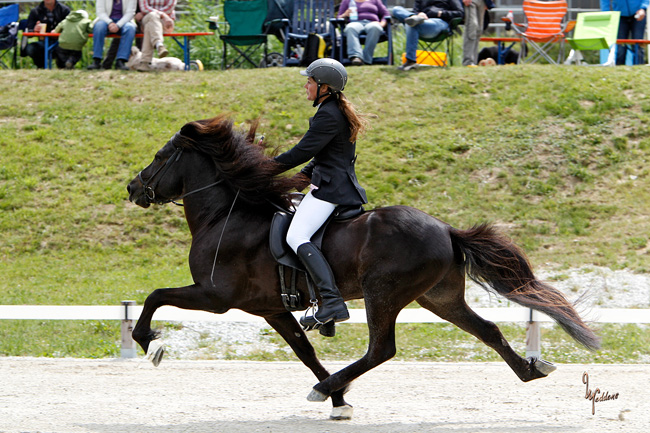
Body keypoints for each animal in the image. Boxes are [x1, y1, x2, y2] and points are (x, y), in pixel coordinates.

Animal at [125, 115, 596, 418]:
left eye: (160, 156)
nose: (133, 188)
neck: (225, 214)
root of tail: (445, 228)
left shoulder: (215, 295)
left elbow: (154, 296)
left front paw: (150, 344)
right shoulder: (272, 308)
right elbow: (305, 351)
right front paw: (339, 402)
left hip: (382, 293)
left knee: (381, 349)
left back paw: (324, 388)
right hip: (438, 298)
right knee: (488, 330)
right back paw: (530, 370)